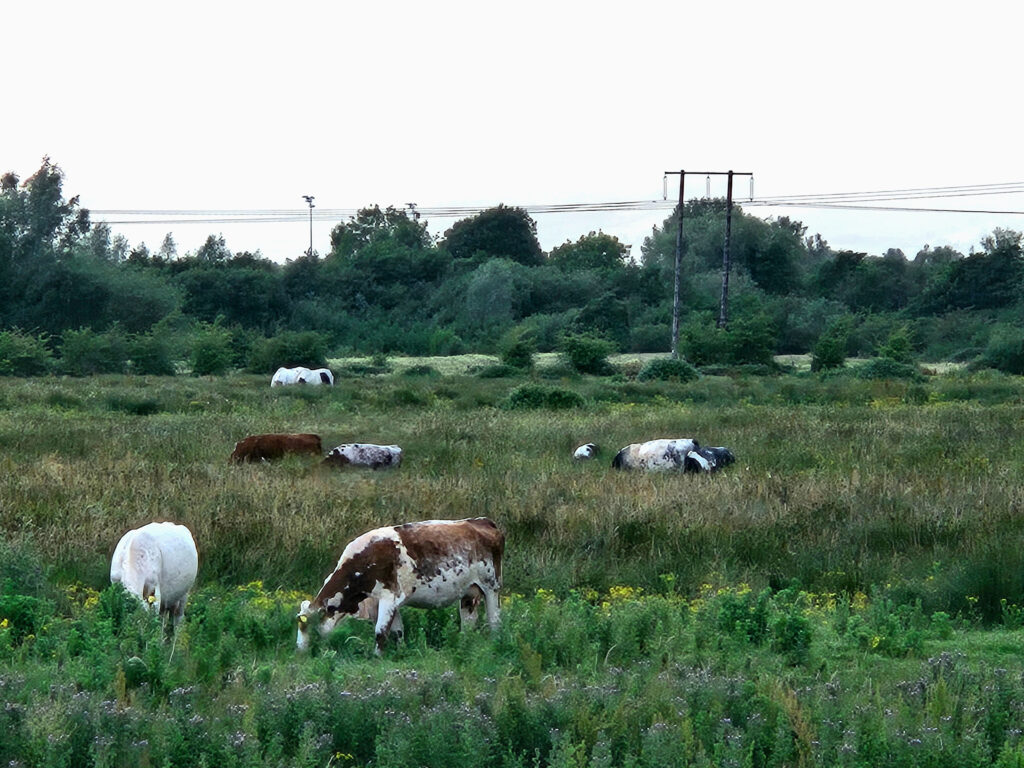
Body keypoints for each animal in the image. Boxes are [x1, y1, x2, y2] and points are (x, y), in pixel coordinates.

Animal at [296, 518, 503, 655]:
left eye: (307, 627)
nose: (299, 653)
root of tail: (480, 521)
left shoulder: (389, 596)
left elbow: (380, 632)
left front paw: (376, 658)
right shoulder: (384, 602)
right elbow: (397, 632)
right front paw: (400, 653)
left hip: (492, 586)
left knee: (494, 619)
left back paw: (494, 644)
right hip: (469, 592)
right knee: (468, 622)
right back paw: (464, 644)